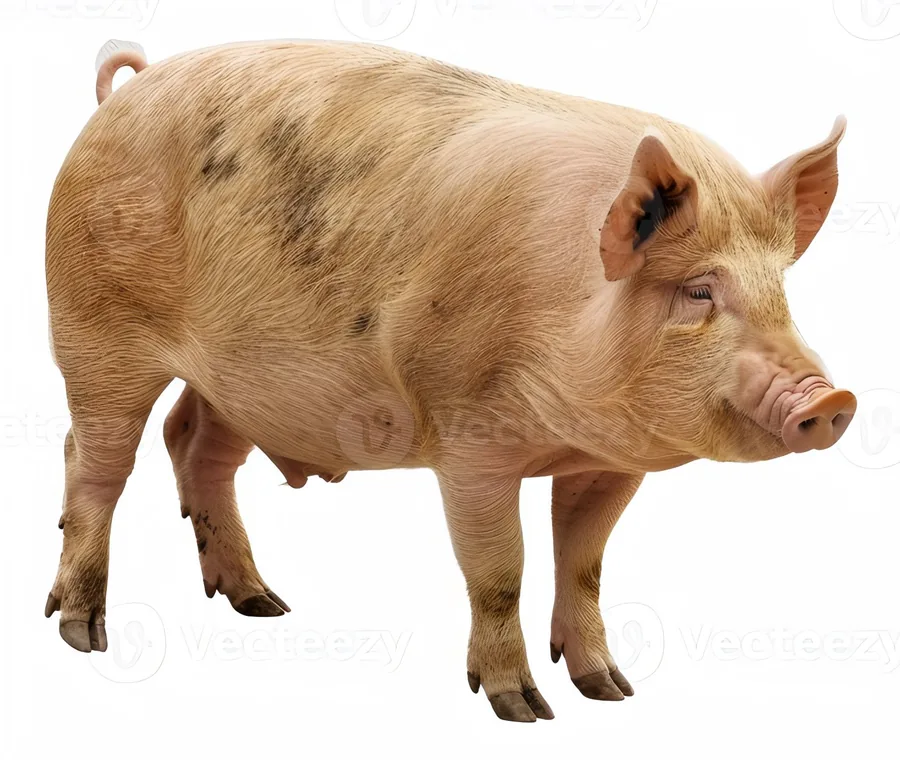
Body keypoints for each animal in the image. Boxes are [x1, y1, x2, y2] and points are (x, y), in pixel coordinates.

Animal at [44, 39, 856, 722]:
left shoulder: (610, 464)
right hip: (92, 329)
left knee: (194, 443)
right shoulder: (468, 443)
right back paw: (84, 632)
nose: (831, 398)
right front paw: (523, 709)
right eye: (698, 290)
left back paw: (263, 604)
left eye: (780, 289)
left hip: (241, 381)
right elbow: (500, 571)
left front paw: (611, 691)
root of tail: (128, 90)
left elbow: (585, 563)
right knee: (94, 460)